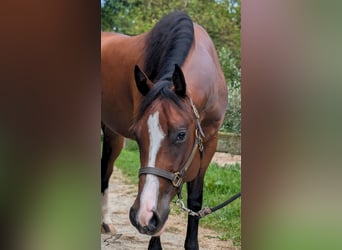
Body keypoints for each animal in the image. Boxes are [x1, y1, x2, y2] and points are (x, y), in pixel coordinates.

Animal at [100, 11, 227, 250]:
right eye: (138, 135)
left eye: (181, 134)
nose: (142, 216)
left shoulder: (210, 141)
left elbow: (195, 199)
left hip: (112, 133)